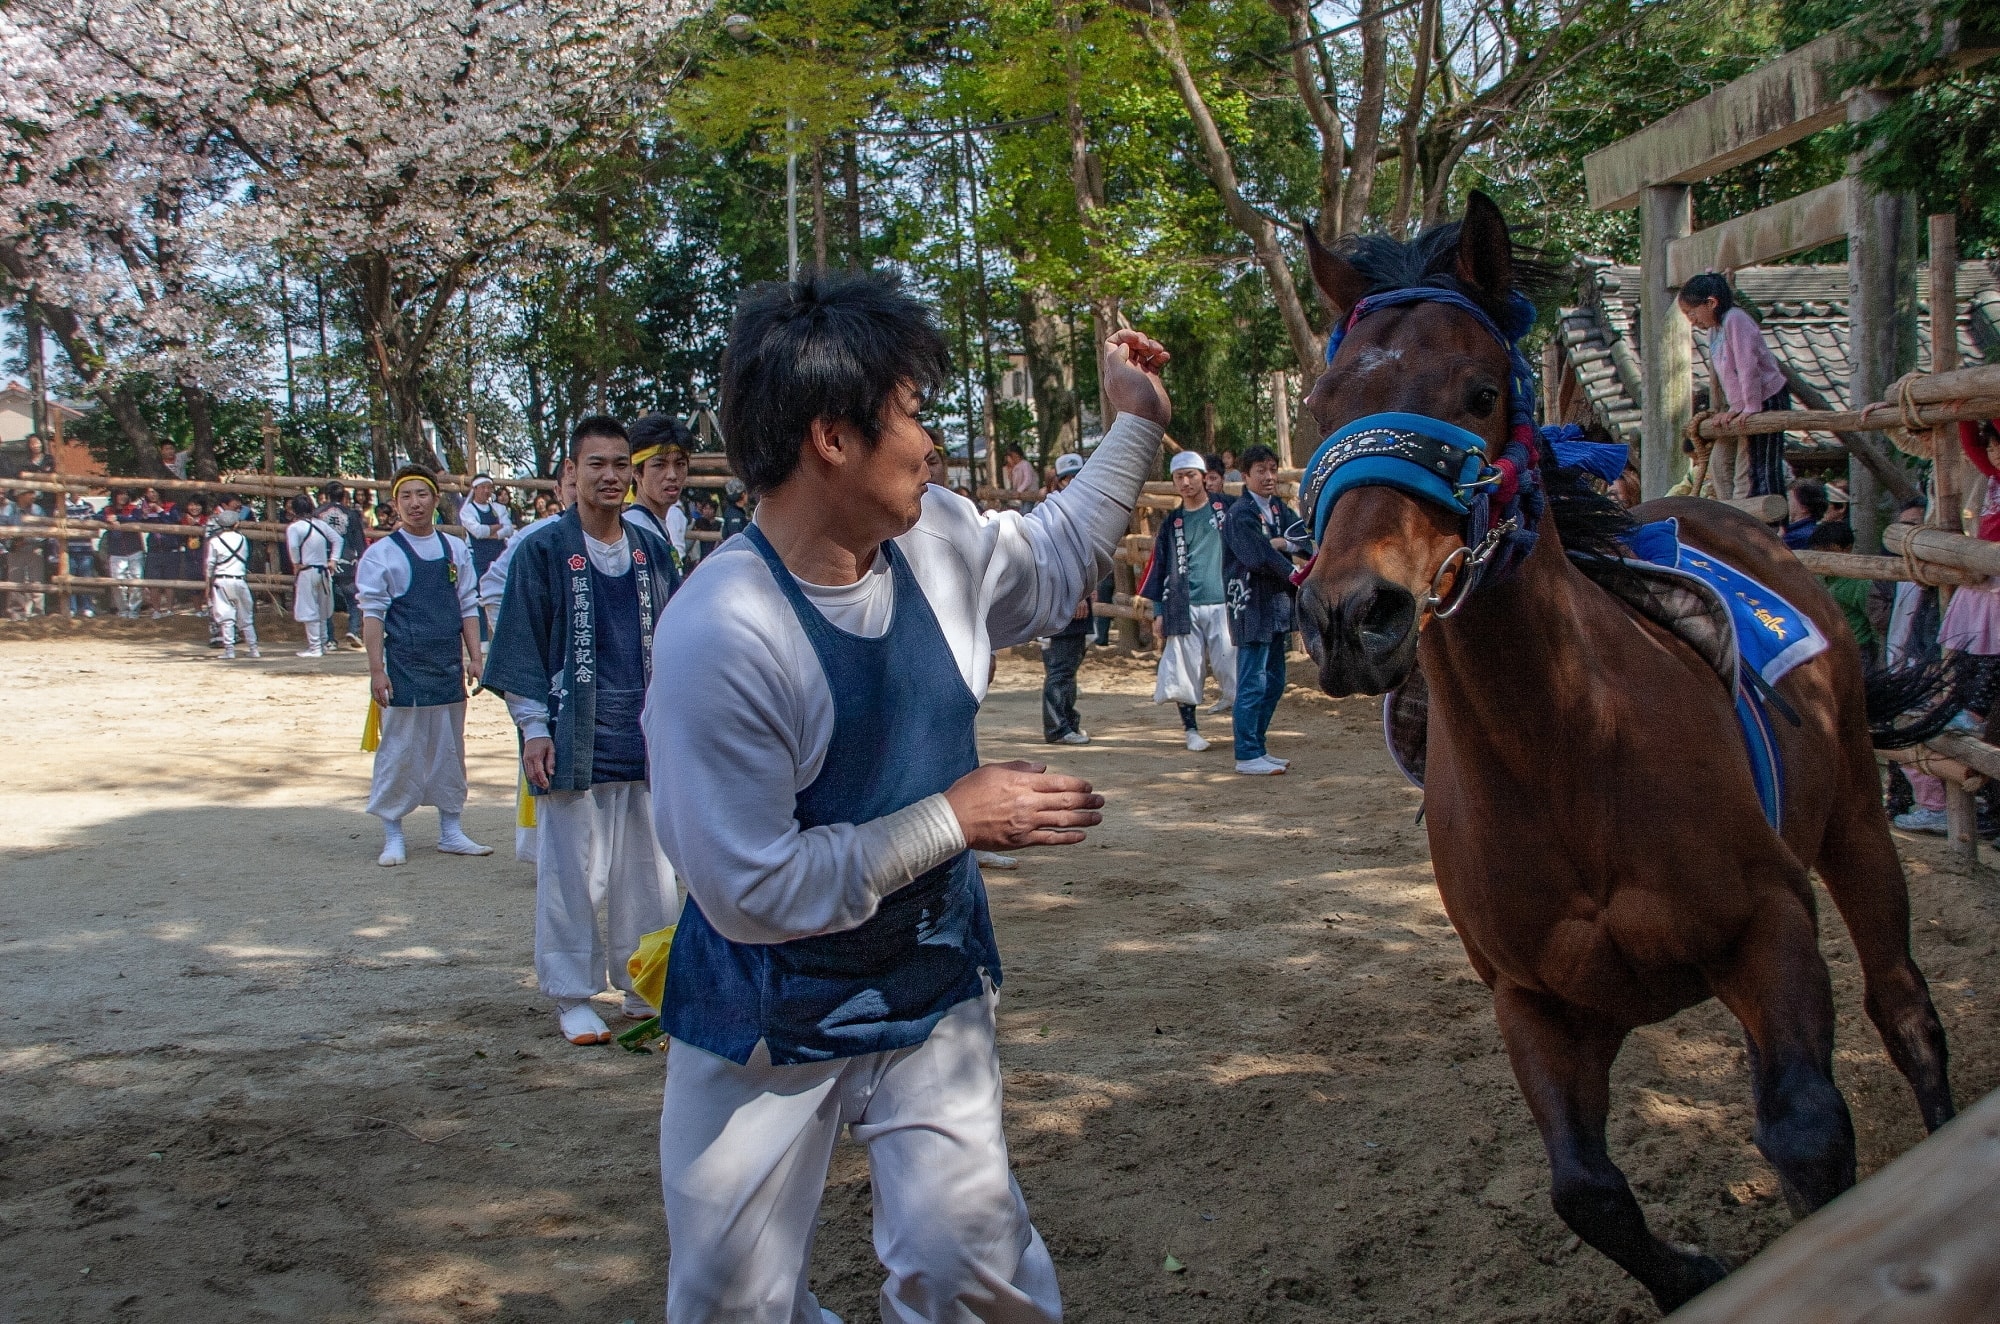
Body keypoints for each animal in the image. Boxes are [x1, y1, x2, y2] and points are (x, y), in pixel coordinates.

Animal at [1296, 192, 1952, 1312]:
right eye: (1319, 406)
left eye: (1479, 393)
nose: (1350, 614)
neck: (1564, 756)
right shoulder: (1533, 1001)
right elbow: (1586, 1192)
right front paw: (1691, 1270)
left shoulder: (1767, 922)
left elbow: (1806, 1134)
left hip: (1858, 817)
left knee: (1904, 1006)